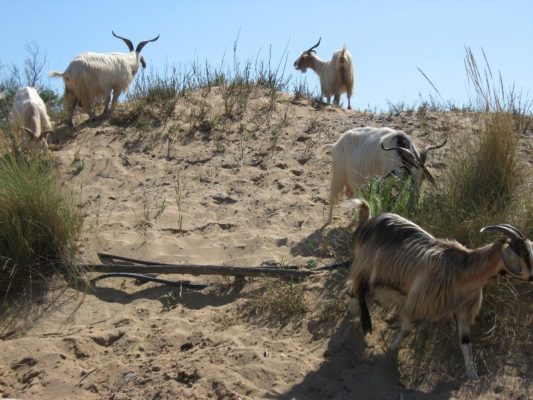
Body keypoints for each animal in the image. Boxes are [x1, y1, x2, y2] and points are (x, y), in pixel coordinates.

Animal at [348, 198, 528, 380]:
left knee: (355, 287)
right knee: (358, 285)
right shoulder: (420, 301)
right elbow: (407, 328)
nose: (532, 276)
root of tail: (368, 221)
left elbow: (466, 342)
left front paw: (472, 375)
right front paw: (391, 349)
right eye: (521, 252)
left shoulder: (463, 308)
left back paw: (354, 310)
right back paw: (365, 323)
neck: (463, 271)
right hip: (367, 263)